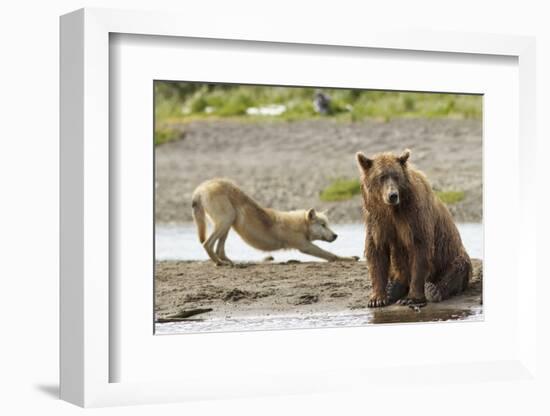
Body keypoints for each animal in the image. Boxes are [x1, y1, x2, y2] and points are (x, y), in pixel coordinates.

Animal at [358, 149, 474, 306]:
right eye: (381, 177)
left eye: (396, 175)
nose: (392, 195)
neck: (392, 209)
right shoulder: (377, 220)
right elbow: (377, 250)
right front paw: (377, 299)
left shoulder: (414, 215)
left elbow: (419, 249)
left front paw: (411, 298)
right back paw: (393, 289)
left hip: (451, 255)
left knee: (457, 268)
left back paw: (433, 290)